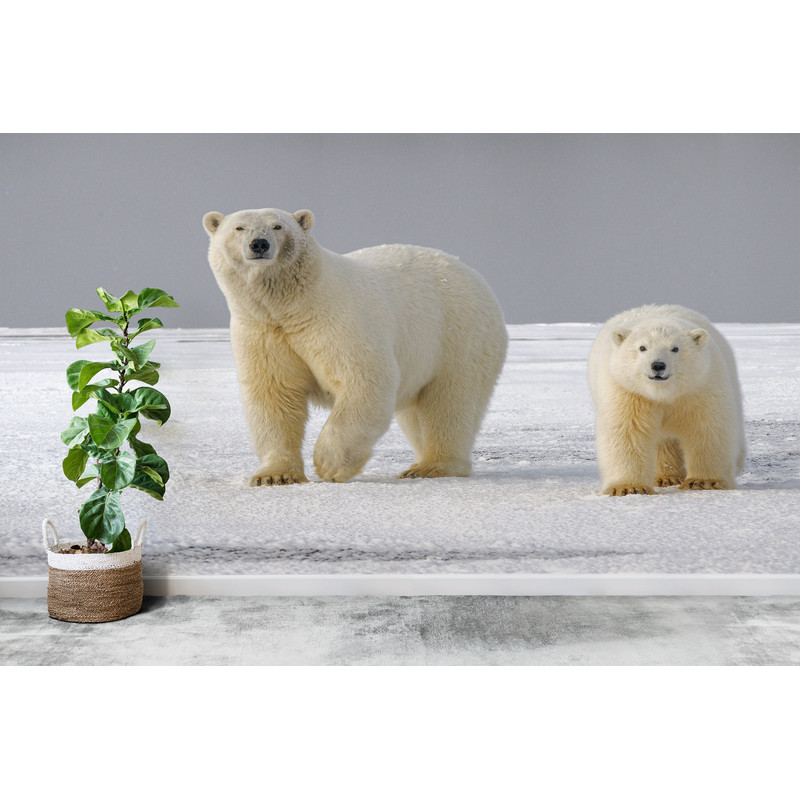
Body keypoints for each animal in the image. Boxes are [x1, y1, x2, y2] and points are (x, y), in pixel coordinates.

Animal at [202, 207, 508, 485]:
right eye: (239, 228)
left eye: (278, 226)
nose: (259, 244)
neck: (292, 306)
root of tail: (473, 274)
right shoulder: (262, 331)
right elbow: (274, 395)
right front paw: (274, 475)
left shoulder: (337, 320)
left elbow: (363, 378)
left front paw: (329, 464)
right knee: (416, 413)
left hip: (458, 336)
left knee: (450, 402)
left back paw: (431, 467)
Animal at [588, 304, 745, 495]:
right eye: (642, 347)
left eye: (675, 348)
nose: (657, 365)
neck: (663, 393)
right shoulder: (628, 391)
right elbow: (627, 431)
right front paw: (629, 487)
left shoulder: (700, 386)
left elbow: (708, 427)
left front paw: (703, 482)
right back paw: (666, 477)